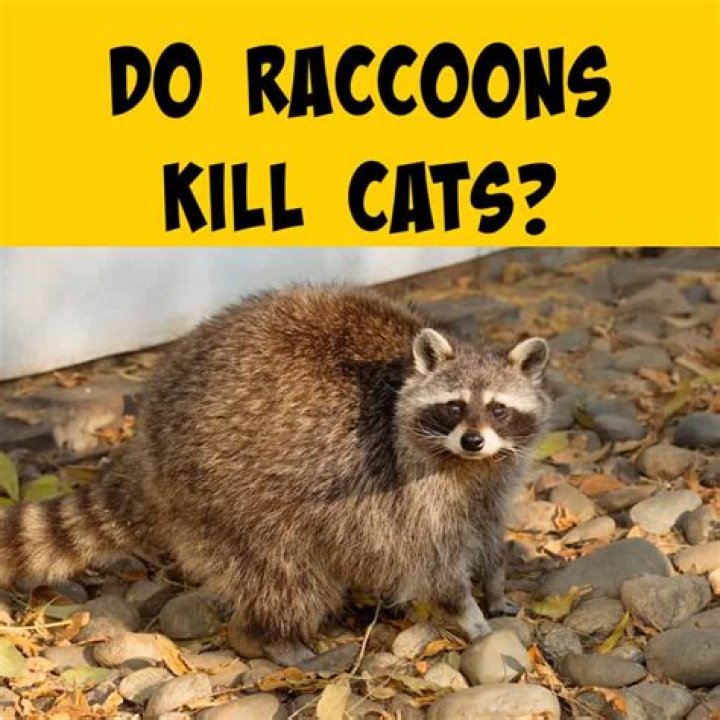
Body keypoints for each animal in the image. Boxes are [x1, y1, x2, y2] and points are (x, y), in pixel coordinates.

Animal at [0, 285, 551, 649]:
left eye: (498, 409)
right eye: (454, 407)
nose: (474, 440)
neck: (467, 466)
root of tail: (147, 445)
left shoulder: (494, 478)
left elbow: (487, 531)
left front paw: (495, 584)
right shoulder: (409, 488)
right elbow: (433, 561)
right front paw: (469, 613)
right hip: (225, 487)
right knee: (283, 575)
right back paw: (278, 637)